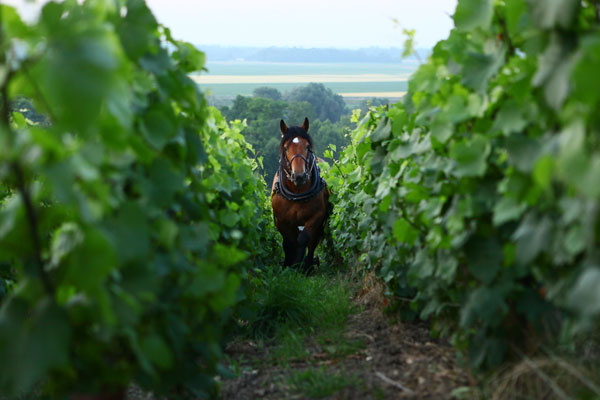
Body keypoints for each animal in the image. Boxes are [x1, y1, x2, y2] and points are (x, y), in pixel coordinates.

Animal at [274, 117, 332, 274]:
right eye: (286, 148)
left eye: (307, 147)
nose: (299, 176)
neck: (297, 193)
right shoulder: (281, 220)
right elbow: (288, 242)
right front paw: (289, 264)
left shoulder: (317, 216)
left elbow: (304, 239)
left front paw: (301, 264)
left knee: (312, 241)